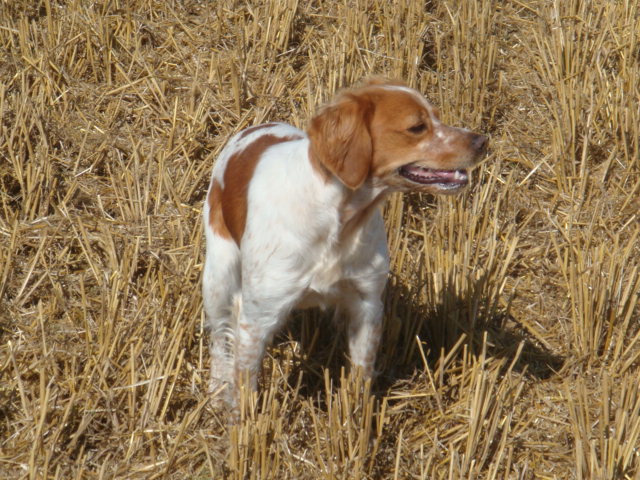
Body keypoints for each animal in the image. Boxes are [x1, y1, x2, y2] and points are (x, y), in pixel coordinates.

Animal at [202, 78, 488, 404]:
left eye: (437, 117)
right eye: (417, 127)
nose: (482, 141)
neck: (338, 217)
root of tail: (253, 130)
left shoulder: (367, 305)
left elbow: (361, 377)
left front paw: (357, 414)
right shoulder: (257, 318)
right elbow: (244, 391)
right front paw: (236, 414)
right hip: (218, 278)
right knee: (218, 339)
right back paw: (215, 392)